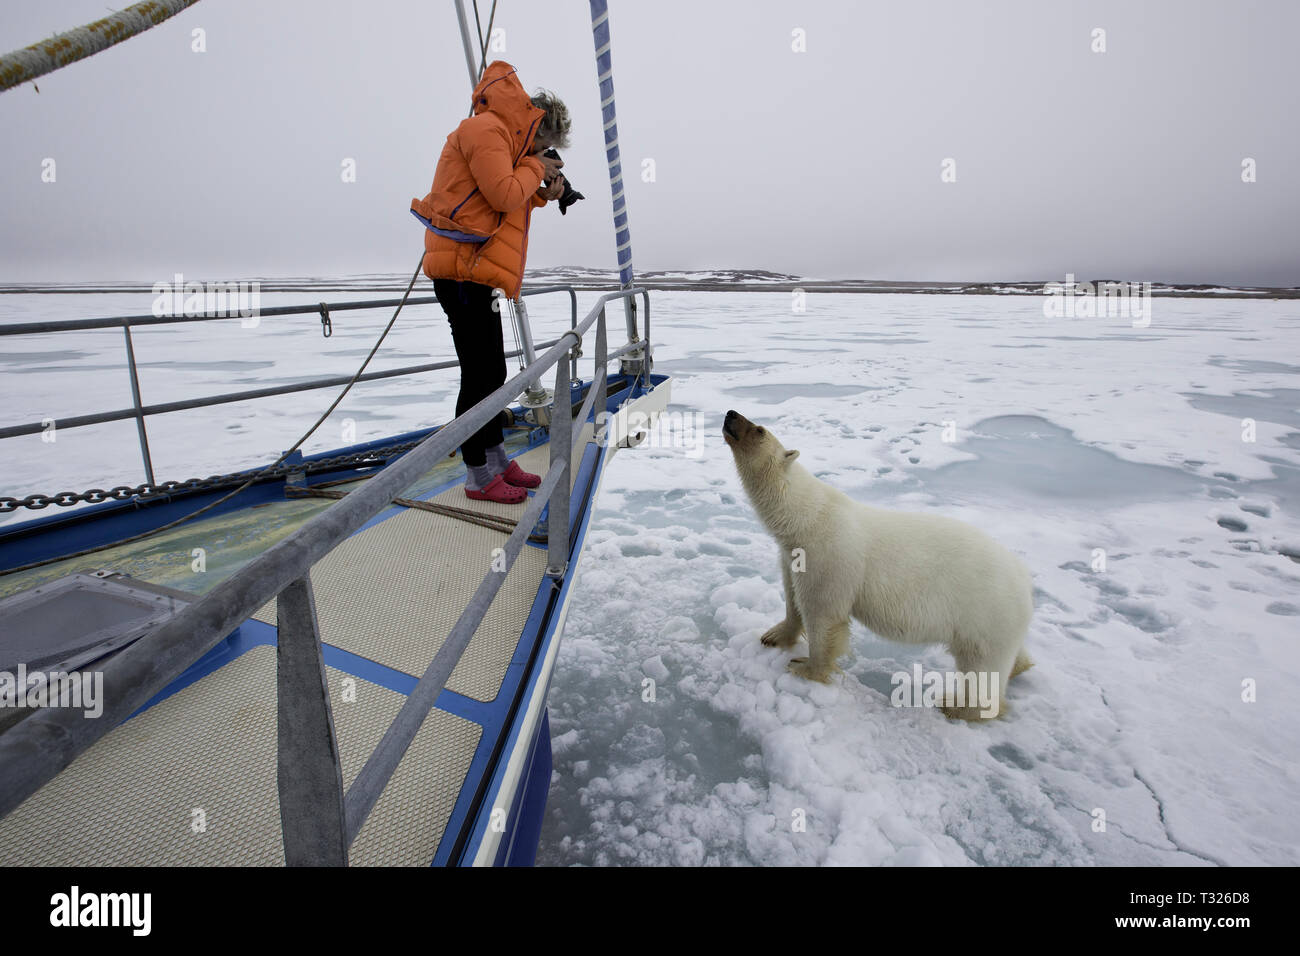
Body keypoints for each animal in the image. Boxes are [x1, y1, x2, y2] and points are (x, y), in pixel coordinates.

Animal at [722, 408, 1034, 723]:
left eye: (759, 430)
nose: (731, 413)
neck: (806, 518)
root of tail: (1024, 578)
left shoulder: (829, 556)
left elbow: (823, 613)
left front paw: (805, 667)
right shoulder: (791, 556)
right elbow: (793, 597)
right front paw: (773, 635)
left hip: (982, 611)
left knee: (982, 667)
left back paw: (955, 705)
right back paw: (1020, 666)